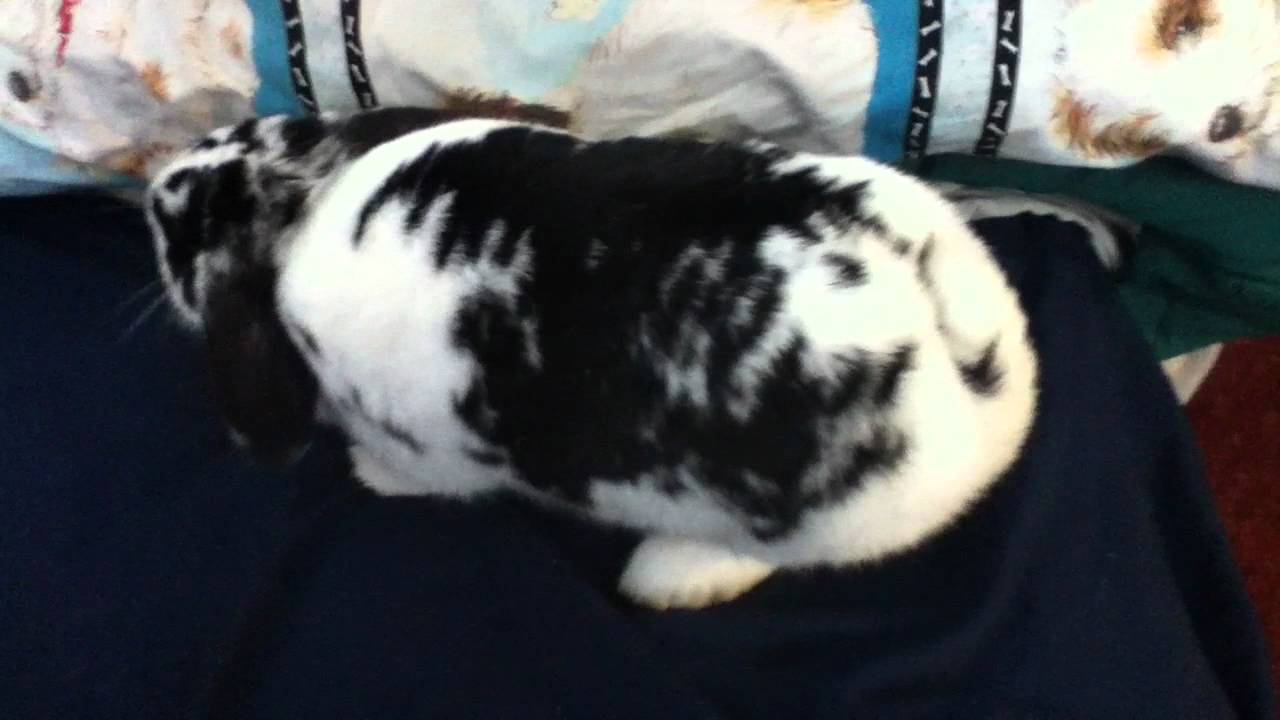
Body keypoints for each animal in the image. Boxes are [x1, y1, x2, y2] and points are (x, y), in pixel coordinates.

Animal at [146, 107, 1038, 610]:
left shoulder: (428, 452)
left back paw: (664, 581)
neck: (310, 203)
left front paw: (367, 475)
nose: (155, 185)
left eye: (186, 236)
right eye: (243, 132)